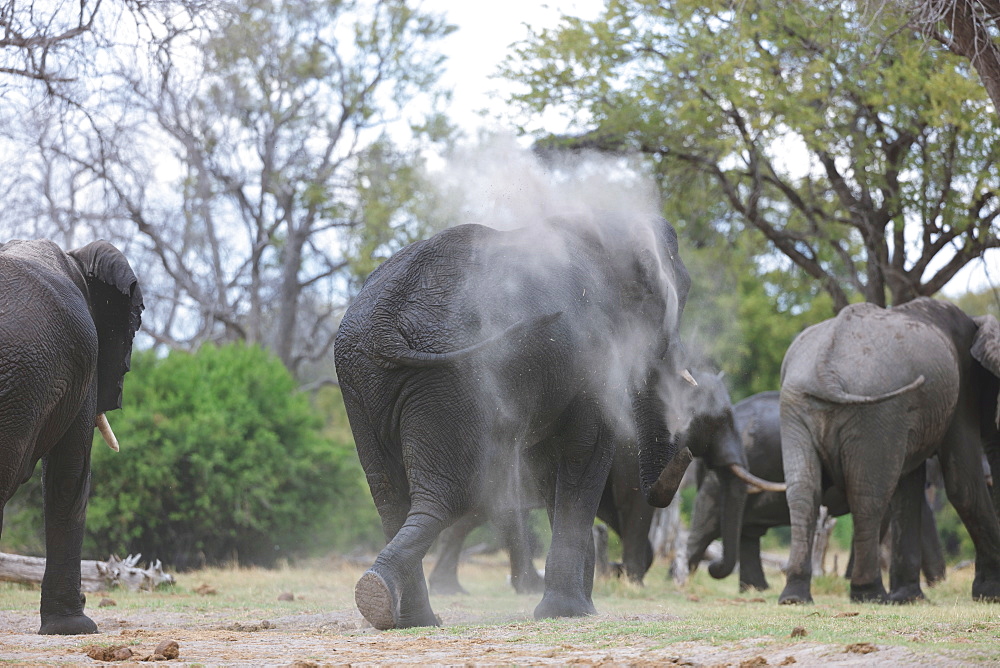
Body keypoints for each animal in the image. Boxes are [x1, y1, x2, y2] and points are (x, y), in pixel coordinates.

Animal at [336, 215, 696, 632]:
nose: (687, 452)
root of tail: (383, 322)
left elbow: (553, 470)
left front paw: (578, 609)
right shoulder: (594, 354)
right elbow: (585, 454)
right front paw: (568, 612)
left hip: (363, 379)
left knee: (389, 494)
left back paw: (406, 616)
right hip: (455, 379)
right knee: (449, 495)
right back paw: (389, 601)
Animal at [780, 298, 1000, 604]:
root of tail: (826, 369)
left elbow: (908, 489)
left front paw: (908, 598)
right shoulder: (962, 390)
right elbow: (962, 484)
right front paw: (991, 592)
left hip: (798, 406)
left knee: (803, 492)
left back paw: (794, 596)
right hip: (873, 409)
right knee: (867, 496)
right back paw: (869, 593)